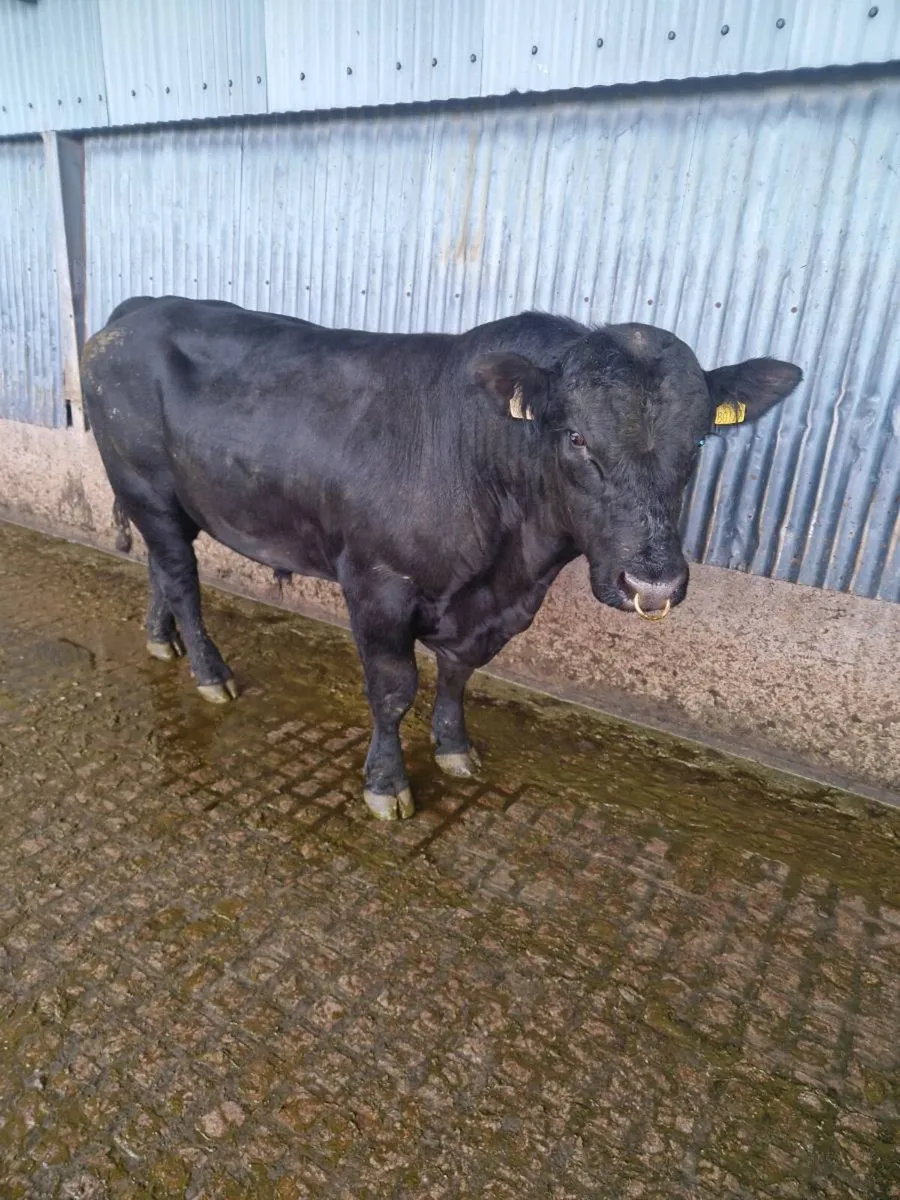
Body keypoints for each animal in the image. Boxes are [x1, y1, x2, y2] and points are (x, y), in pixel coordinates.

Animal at [81, 296, 802, 819]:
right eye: (576, 437)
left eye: (700, 441)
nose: (651, 583)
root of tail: (135, 312)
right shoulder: (376, 583)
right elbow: (394, 688)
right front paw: (386, 785)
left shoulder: (492, 608)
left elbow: (460, 673)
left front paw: (455, 750)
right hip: (147, 488)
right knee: (183, 579)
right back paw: (210, 672)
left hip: (165, 503)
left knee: (163, 569)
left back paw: (161, 642)